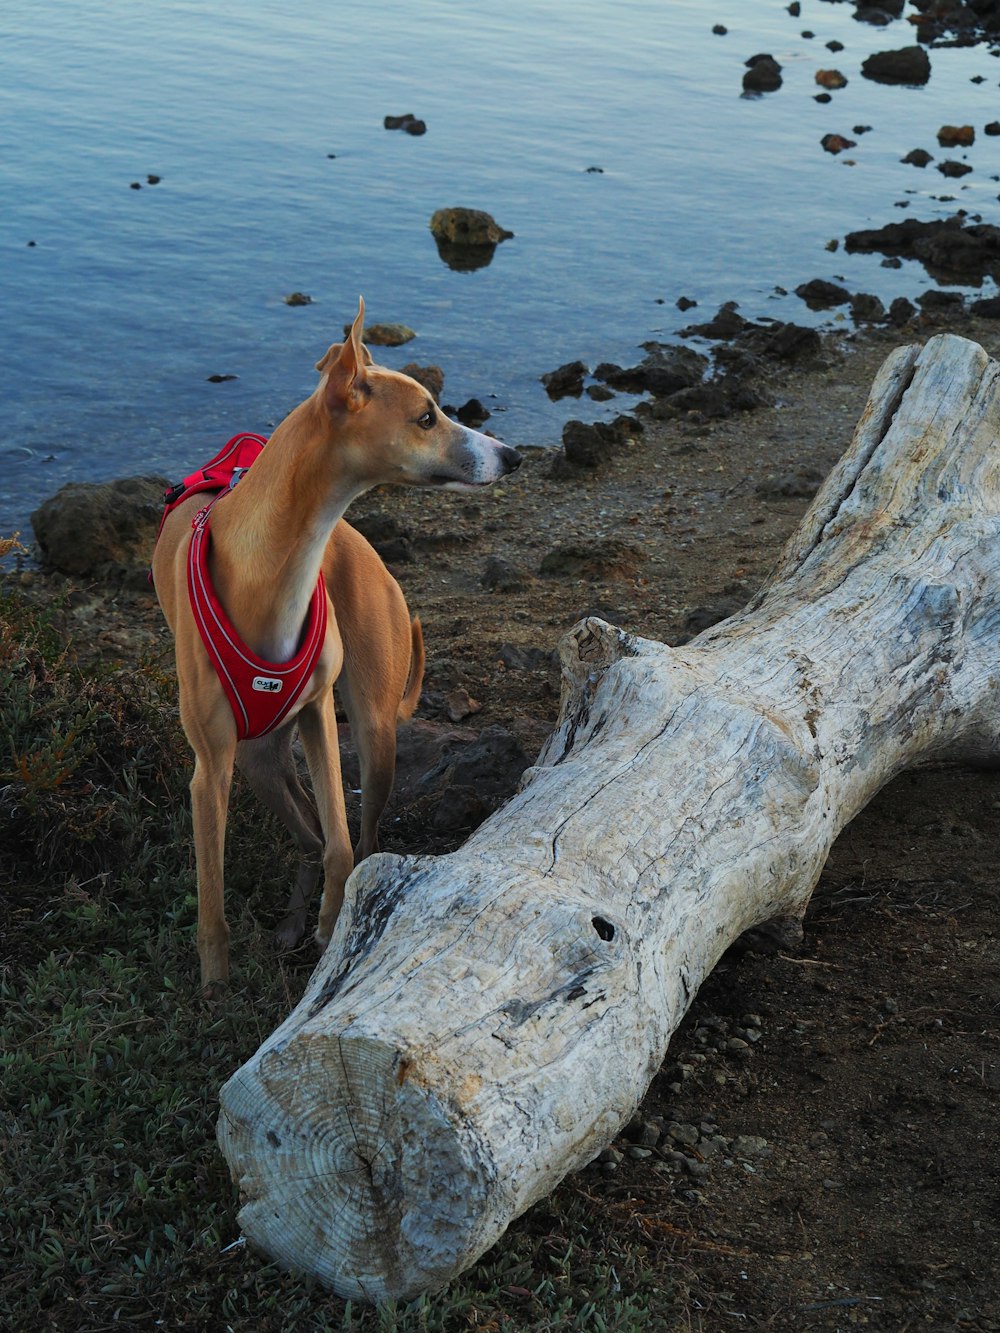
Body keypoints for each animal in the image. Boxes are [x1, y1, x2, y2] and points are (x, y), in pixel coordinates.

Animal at [154, 302, 525, 991]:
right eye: (426, 416)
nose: (512, 456)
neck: (275, 566)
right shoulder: (210, 769)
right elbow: (212, 893)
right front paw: (215, 985)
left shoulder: (319, 717)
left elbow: (342, 842)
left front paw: (332, 927)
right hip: (257, 761)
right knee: (304, 834)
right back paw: (291, 922)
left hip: (372, 734)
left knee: (362, 835)